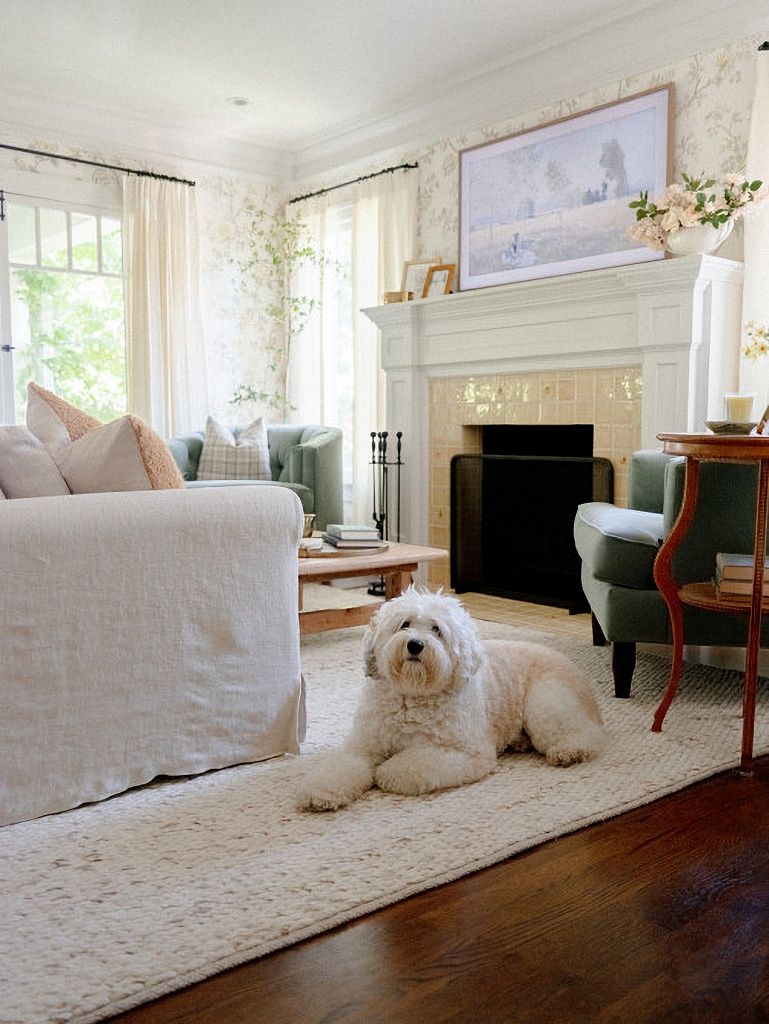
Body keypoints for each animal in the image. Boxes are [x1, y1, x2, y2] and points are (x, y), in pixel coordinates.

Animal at [296, 589, 606, 811]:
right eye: (404, 624)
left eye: (437, 630)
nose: (415, 645)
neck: (412, 696)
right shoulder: (362, 747)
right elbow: (341, 768)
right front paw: (320, 793)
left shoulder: (466, 754)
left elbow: (411, 764)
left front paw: (386, 773)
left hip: (546, 702)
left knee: (584, 733)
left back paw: (569, 752)